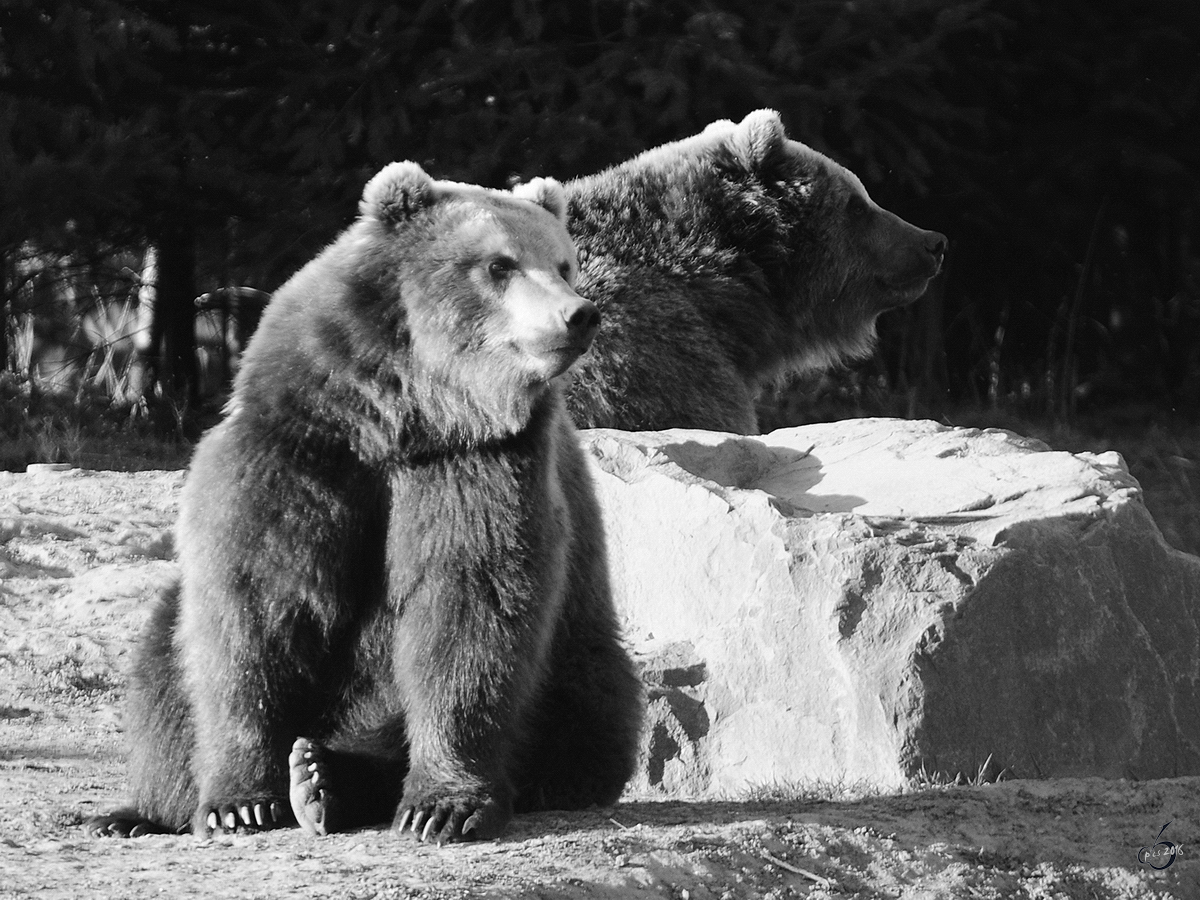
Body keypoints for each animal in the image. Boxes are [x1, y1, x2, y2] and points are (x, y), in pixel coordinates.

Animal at [87, 162, 643, 844]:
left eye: (563, 264)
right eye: (500, 264)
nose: (578, 314)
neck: (402, 412)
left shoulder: (480, 463)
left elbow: (468, 604)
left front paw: (440, 807)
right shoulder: (299, 446)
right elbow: (251, 606)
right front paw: (239, 802)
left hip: (576, 654)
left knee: (583, 707)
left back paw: (327, 776)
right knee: (164, 658)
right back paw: (142, 812)